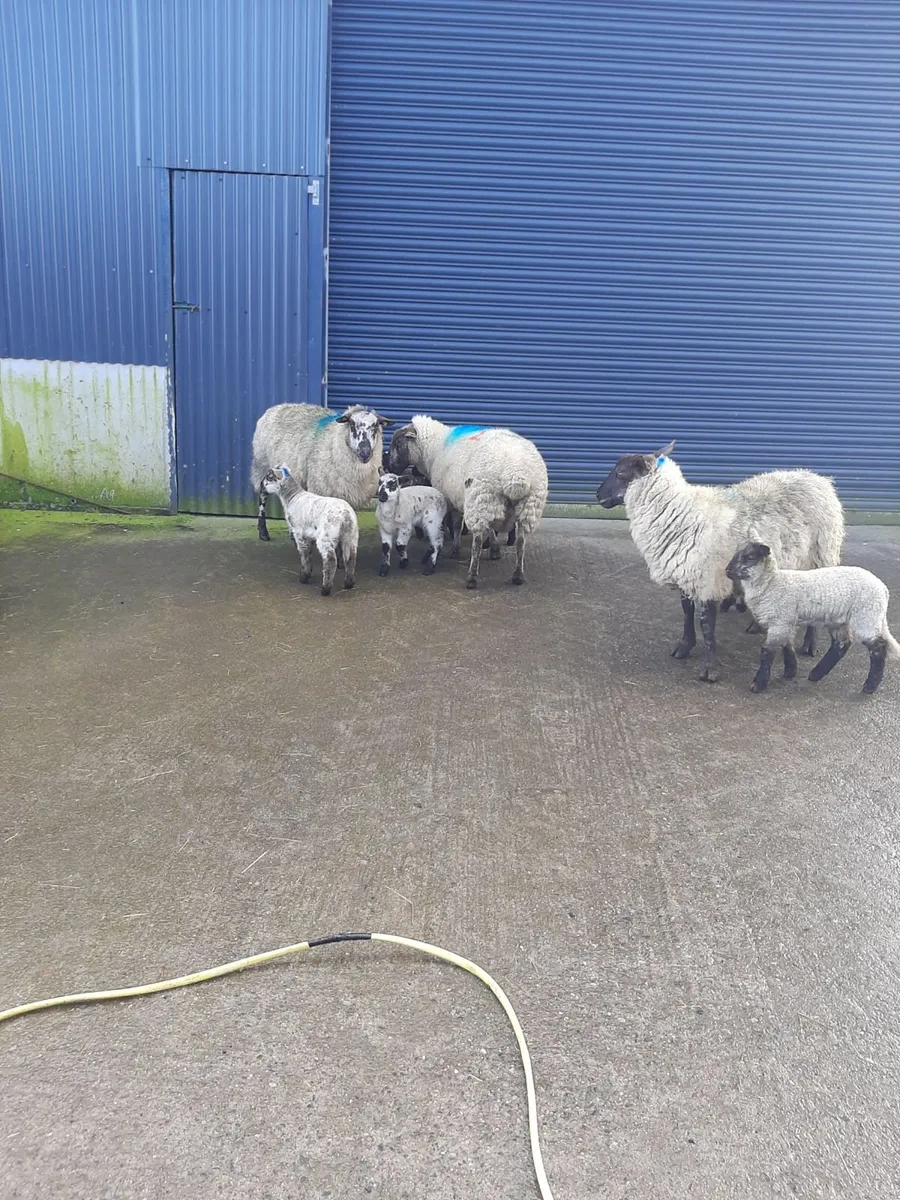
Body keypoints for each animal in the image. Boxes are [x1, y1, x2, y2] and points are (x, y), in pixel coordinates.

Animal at [252, 404, 389, 542]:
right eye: (351, 424)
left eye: (375, 426)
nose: (365, 452)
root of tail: (275, 407)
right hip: (262, 463)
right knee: (262, 494)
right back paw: (263, 532)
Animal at [260, 466, 358, 596]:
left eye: (268, 477)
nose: (260, 485)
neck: (292, 497)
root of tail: (345, 515)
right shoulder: (309, 535)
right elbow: (309, 553)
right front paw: (308, 572)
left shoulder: (298, 533)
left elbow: (304, 554)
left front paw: (304, 577)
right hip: (351, 536)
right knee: (351, 558)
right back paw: (349, 583)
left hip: (326, 537)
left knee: (330, 560)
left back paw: (325, 589)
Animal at [387, 418, 548, 588]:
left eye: (398, 443)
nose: (389, 466)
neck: (435, 450)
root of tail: (516, 475)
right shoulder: (483, 503)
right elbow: (490, 528)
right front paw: (495, 549)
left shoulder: (449, 499)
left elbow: (456, 525)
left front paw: (454, 548)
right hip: (526, 506)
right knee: (521, 541)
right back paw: (518, 575)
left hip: (480, 497)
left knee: (477, 540)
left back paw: (472, 577)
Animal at [595, 441, 844, 682]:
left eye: (620, 472)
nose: (597, 496)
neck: (681, 513)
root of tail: (818, 478)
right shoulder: (687, 574)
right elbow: (686, 612)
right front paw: (684, 647)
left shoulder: (709, 578)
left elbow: (706, 625)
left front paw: (710, 670)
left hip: (822, 554)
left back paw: (809, 645)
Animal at [726, 541, 899, 694]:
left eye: (749, 557)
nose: (727, 570)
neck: (772, 583)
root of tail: (883, 588)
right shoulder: (786, 621)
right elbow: (787, 646)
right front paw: (790, 671)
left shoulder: (780, 621)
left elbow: (767, 651)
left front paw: (758, 685)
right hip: (840, 619)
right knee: (842, 644)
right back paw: (816, 674)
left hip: (866, 615)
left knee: (878, 647)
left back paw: (870, 686)